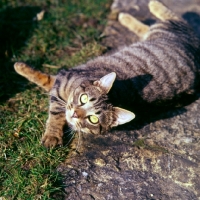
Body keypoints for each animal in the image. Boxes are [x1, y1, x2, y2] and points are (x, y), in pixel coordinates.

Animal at [14, 0, 200, 148]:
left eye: (93, 119)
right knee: (166, 21)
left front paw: (53, 136)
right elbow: (49, 93)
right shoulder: (63, 82)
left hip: (166, 31)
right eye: (83, 98)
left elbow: (53, 101)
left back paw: (134, 12)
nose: (75, 114)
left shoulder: (60, 84)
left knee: (168, 21)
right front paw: (20, 66)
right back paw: (140, 9)